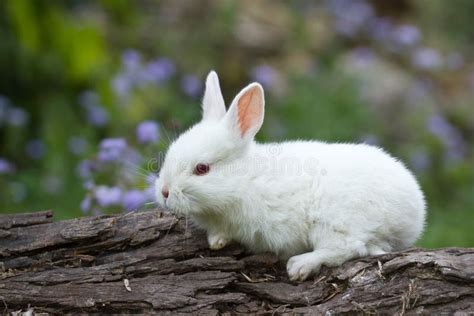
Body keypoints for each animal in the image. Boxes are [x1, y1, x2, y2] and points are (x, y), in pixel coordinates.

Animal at [156, 70, 426, 280]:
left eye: (202, 169)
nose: (164, 192)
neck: (245, 181)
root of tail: (414, 212)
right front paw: (216, 241)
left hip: (335, 222)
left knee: (348, 248)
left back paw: (300, 266)